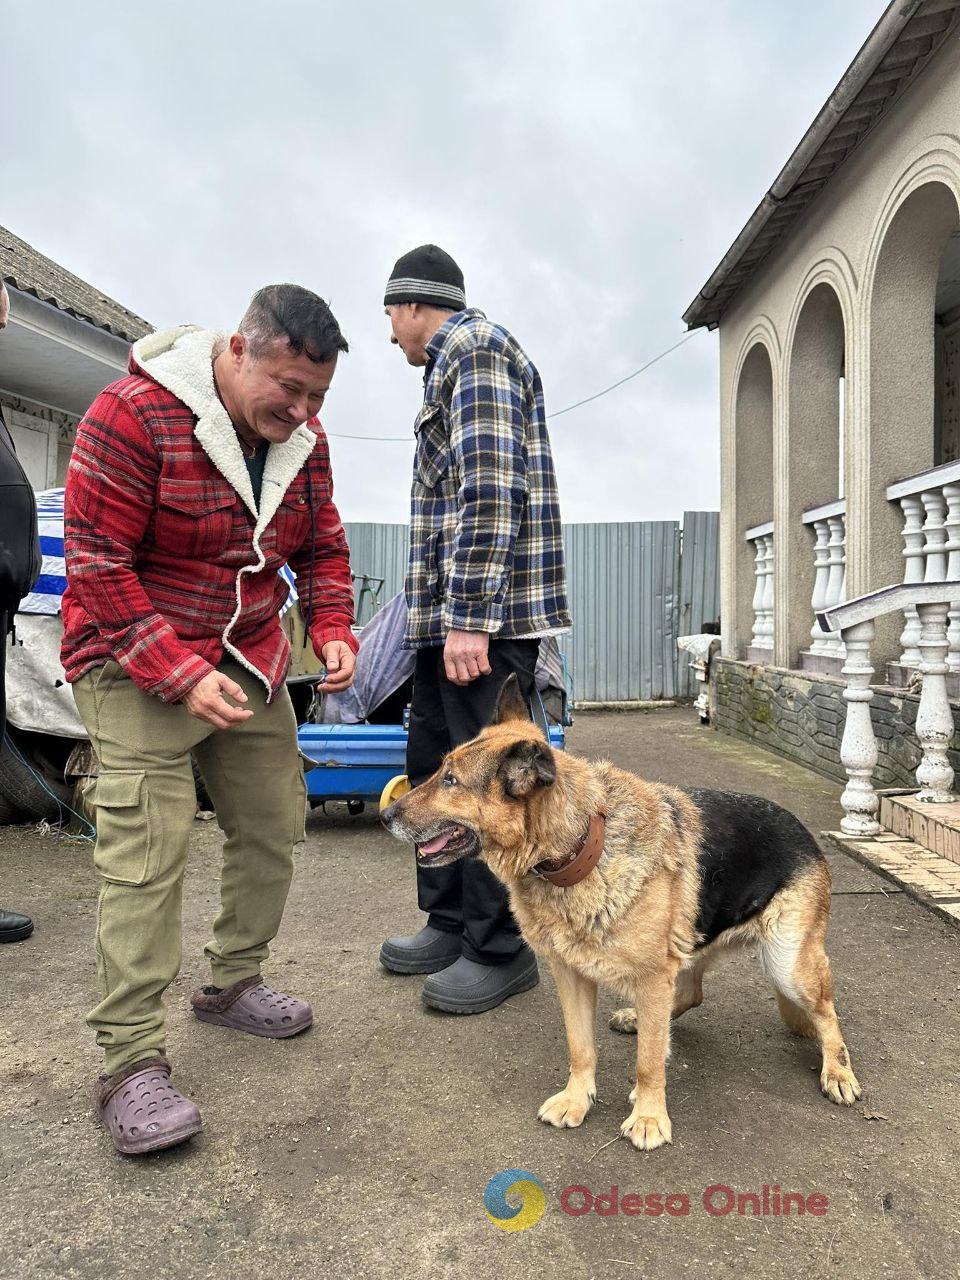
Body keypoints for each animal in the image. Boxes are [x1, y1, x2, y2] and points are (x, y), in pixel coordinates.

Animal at [384, 680, 865, 1152]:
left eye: (451, 781)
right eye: (442, 772)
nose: (387, 814)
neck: (581, 845)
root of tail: (802, 830)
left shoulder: (652, 976)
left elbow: (648, 1063)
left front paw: (650, 1116)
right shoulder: (572, 976)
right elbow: (581, 1048)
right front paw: (577, 1099)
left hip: (788, 966)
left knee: (826, 1013)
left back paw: (838, 1071)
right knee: (689, 994)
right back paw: (641, 1018)